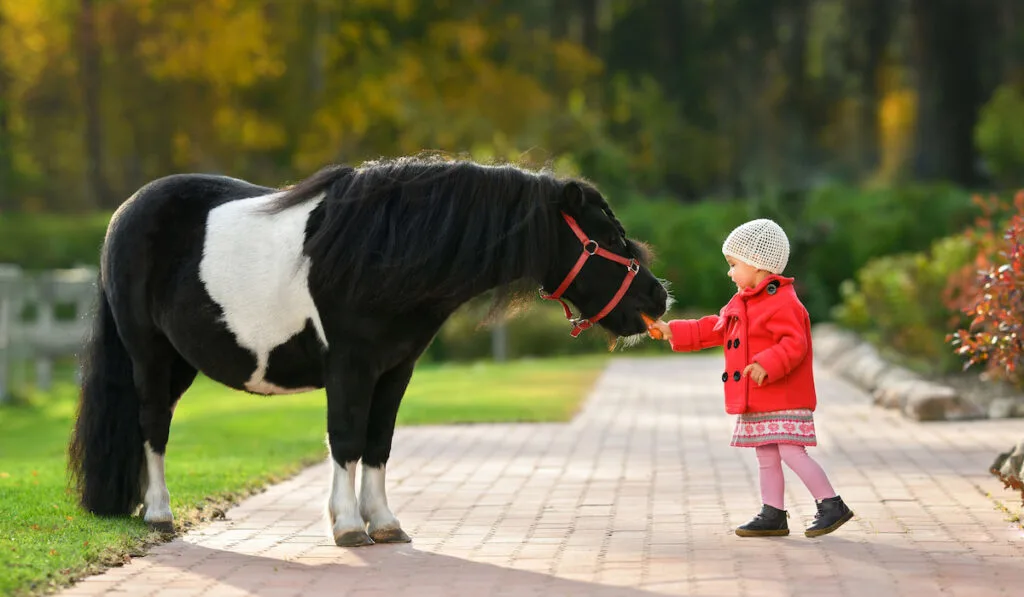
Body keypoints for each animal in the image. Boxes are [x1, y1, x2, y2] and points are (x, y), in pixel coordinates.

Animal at [66, 157, 671, 544]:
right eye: (605, 236)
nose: (657, 296)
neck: (383, 251)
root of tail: (123, 214)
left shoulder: (395, 369)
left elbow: (379, 442)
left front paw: (384, 523)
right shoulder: (350, 367)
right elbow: (347, 439)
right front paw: (347, 527)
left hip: (181, 363)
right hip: (149, 355)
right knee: (152, 424)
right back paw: (159, 513)